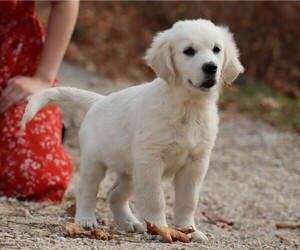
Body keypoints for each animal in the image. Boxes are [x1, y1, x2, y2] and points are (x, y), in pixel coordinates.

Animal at [22, 18, 245, 241]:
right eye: (188, 51)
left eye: (216, 49)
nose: (211, 67)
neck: (188, 108)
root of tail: (99, 100)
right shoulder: (150, 159)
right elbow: (156, 199)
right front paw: (160, 229)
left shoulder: (195, 163)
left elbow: (188, 201)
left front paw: (190, 230)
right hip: (95, 162)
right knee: (86, 188)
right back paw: (85, 220)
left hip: (131, 172)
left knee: (114, 195)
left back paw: (129, 222)